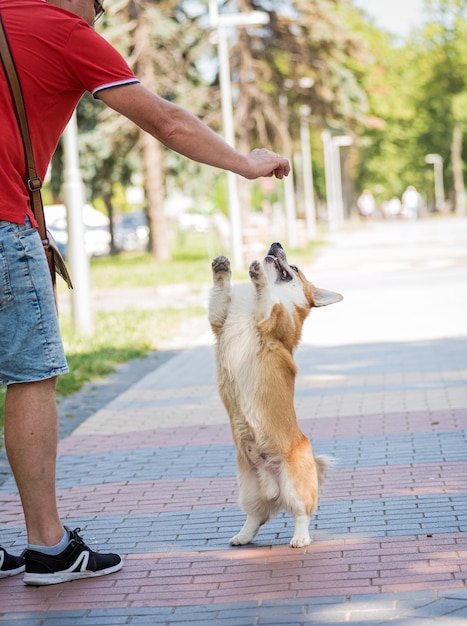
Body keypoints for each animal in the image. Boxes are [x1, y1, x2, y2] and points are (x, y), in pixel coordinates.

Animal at [208, 241, 344, 544]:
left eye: (294, 268)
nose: (276, 244)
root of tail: (273, 486)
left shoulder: (272, 319)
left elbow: (267, 298)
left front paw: (258, 276)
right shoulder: (219, 319)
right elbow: (219, 295)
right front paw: (222, 267)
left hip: (293, 483)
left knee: (301, 513)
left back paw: (300, 538)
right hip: (248, 487)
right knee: (257, 516)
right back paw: (242, 536)